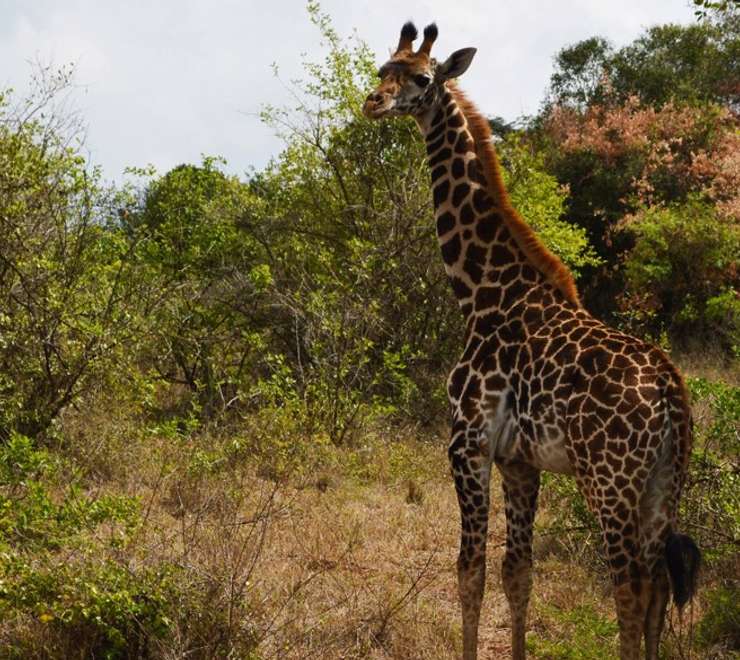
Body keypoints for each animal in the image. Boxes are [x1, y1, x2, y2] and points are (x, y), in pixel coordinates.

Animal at [363, 22, 701, 660]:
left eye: (421, 79)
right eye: (381, 71)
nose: (372, 103)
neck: (482, 294)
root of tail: (672, 391)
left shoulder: (466, 444)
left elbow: (469, 571)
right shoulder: (520, 461)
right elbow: (517, 573)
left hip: (610, 480)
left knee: (630, 587)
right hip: (663, 482)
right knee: (659, 586)